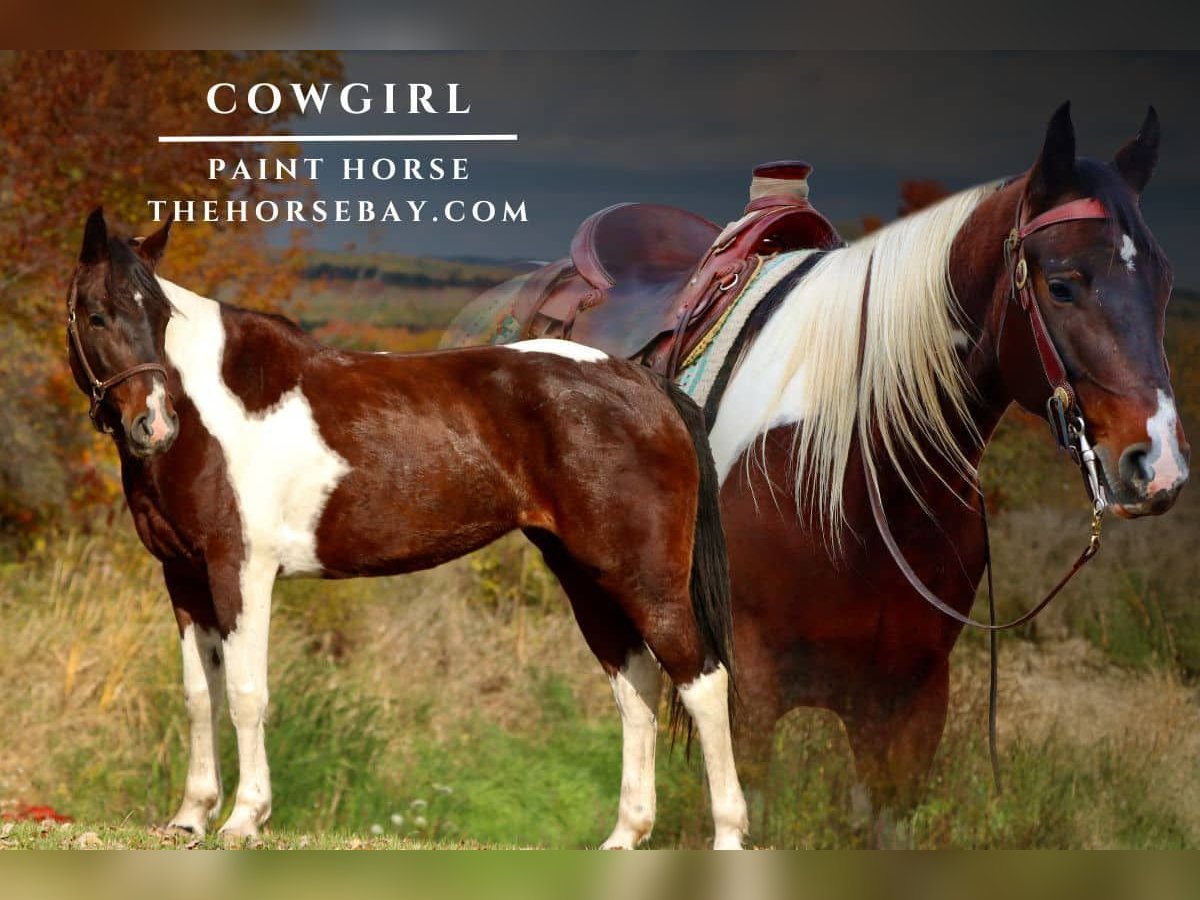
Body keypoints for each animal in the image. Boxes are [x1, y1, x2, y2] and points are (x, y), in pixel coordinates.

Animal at [64, 208, 749, 849]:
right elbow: (198, 693)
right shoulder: (183, 578)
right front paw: (190, 817)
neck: (215, 412)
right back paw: (625, 833)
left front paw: (243, 819)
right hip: (586, 576)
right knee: (636, 685)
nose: (155, 424)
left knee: (703, 680)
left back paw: (727, 834)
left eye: (159, 316)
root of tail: (645, 384)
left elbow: (246, 691)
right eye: (96, 316)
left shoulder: (243, 571)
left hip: (645, 578)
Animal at [444, 103, 1190, 839]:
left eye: (1164, 285)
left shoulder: (909, 703)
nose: (1157, 466)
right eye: (1062, 285)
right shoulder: (756, 691)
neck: (865, 478)